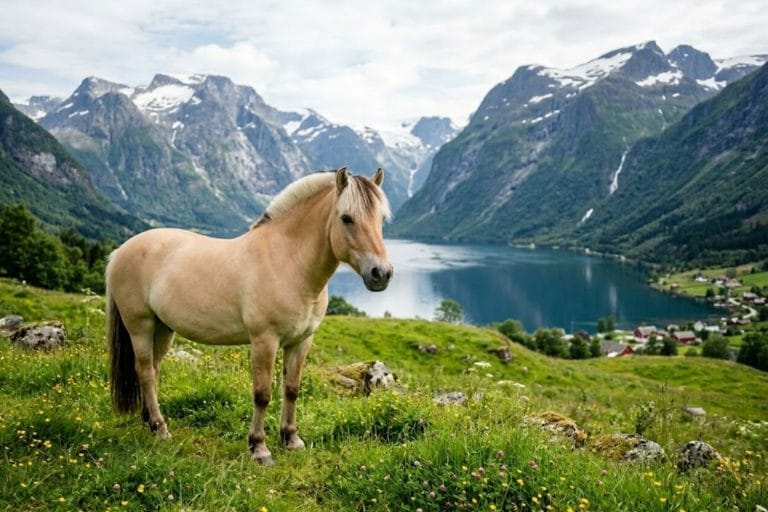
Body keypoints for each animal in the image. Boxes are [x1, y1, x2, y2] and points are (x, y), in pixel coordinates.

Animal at [106, 167, 393, 465]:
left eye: (381, 219)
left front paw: (291, 439)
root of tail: (119, 252)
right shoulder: (264, 341)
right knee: (145, 372)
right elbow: (262, 394)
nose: (381, 274)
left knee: (152, 370)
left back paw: (149, 423)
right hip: (140, 326)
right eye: (346, 218)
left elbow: (292, 389)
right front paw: (259, 448)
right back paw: (161, 428)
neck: (288, 261)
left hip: (162, 328)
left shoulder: (301, 342)